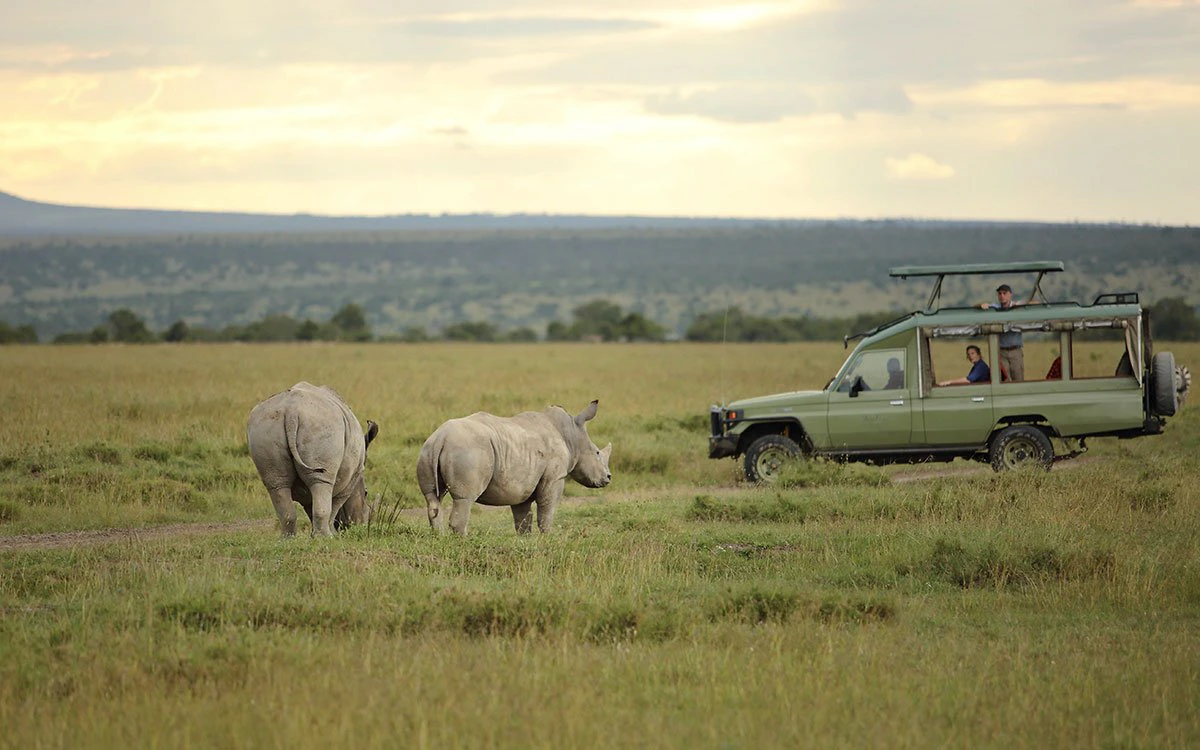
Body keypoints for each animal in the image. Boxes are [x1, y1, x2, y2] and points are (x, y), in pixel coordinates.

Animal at [246, 382, 379, 537]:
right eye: (366, 493)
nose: (361, 524)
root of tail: (291, 412)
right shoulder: (351, 478)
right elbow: (335, 504)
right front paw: (331, 535)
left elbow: (311, 506)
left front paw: (314, 535)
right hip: (323, 426)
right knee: (321, 481)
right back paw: (325, 537)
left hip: (265, 427)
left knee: (277, 483)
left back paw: (288, 539)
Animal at [416, 400, 612, 535]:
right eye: (597, 453)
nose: (608, 477)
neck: (571, 435)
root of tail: (441, 437)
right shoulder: (555, 477)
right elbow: (547, 510)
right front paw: (548, 537)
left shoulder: (522, 484)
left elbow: (523, 518)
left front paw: (525, 540)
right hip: (469, 450)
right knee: (464, 499)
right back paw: (463, 541)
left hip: (427, 450)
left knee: (432, 498)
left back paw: (439, 537)